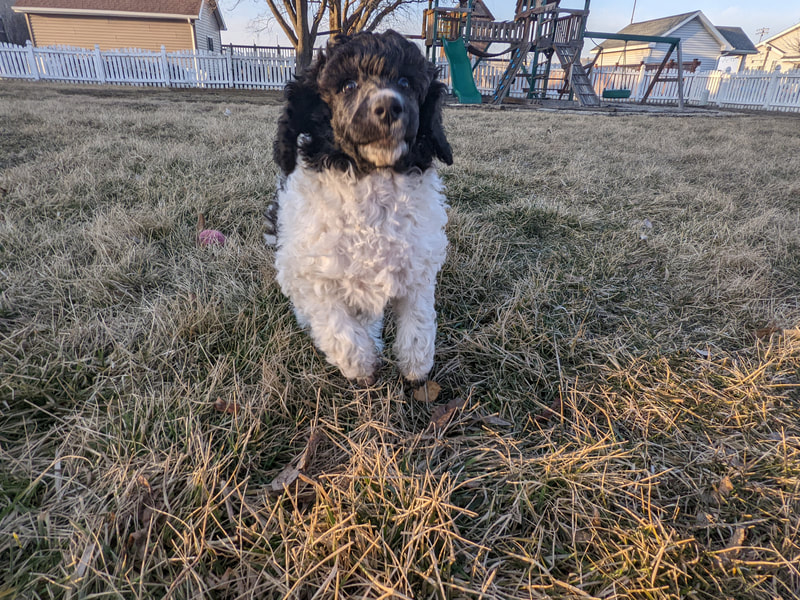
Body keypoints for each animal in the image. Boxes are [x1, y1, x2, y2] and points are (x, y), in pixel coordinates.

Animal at [268, 30, 453, 386]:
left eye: (405, 82)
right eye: (348, 85)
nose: (388, 106)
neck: (372, 180)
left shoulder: (419, 265)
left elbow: (419, 317)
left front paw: (416, 364)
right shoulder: (310, 275)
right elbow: (338, 327)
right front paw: (362, 365)